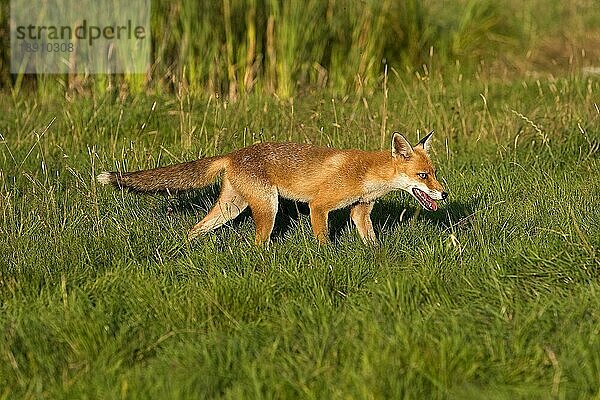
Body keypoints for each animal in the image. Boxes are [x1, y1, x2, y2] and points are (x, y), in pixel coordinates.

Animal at [97, 132, 446, 244]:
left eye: (434, 173)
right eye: (423, 176)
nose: (444, 193)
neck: (366, 175)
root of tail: (233, 154)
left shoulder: (360, 211)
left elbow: (371, 242)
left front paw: (378, 258)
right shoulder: (319, 205)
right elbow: (323, 241)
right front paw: (327, 260)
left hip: (231, 208)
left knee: (195, 228)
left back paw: (184, 250)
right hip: (268, 207)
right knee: (257, 244)